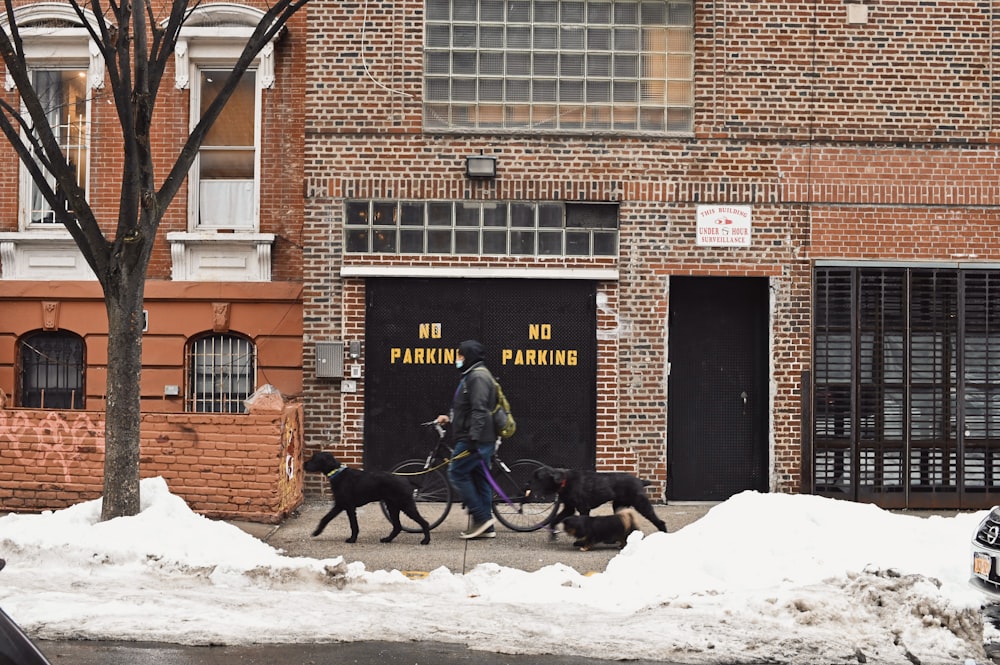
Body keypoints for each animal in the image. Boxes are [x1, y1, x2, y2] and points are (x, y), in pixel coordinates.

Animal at [302, 452, 432, 544]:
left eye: (314, 459)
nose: (303, 464)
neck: (337, 473)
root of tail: (406, 480)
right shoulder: (340, 504)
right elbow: (325, 518)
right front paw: (317, 532)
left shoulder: (349, 507)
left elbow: (353, 525)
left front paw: (352, 539)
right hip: (393, 507)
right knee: (397, 526)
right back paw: (387, 539)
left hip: (405, 505)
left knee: (424, 522)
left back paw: (426, 541)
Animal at [532, 466, 664, 536]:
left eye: (539, 478)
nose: (528, 485)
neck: (564, 481)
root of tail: (640, 481)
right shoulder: (569, 508)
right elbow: (555, 520)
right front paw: (552, 535)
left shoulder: (583, 508)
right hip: (619, 506)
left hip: (641, 504)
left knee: (659, 521)